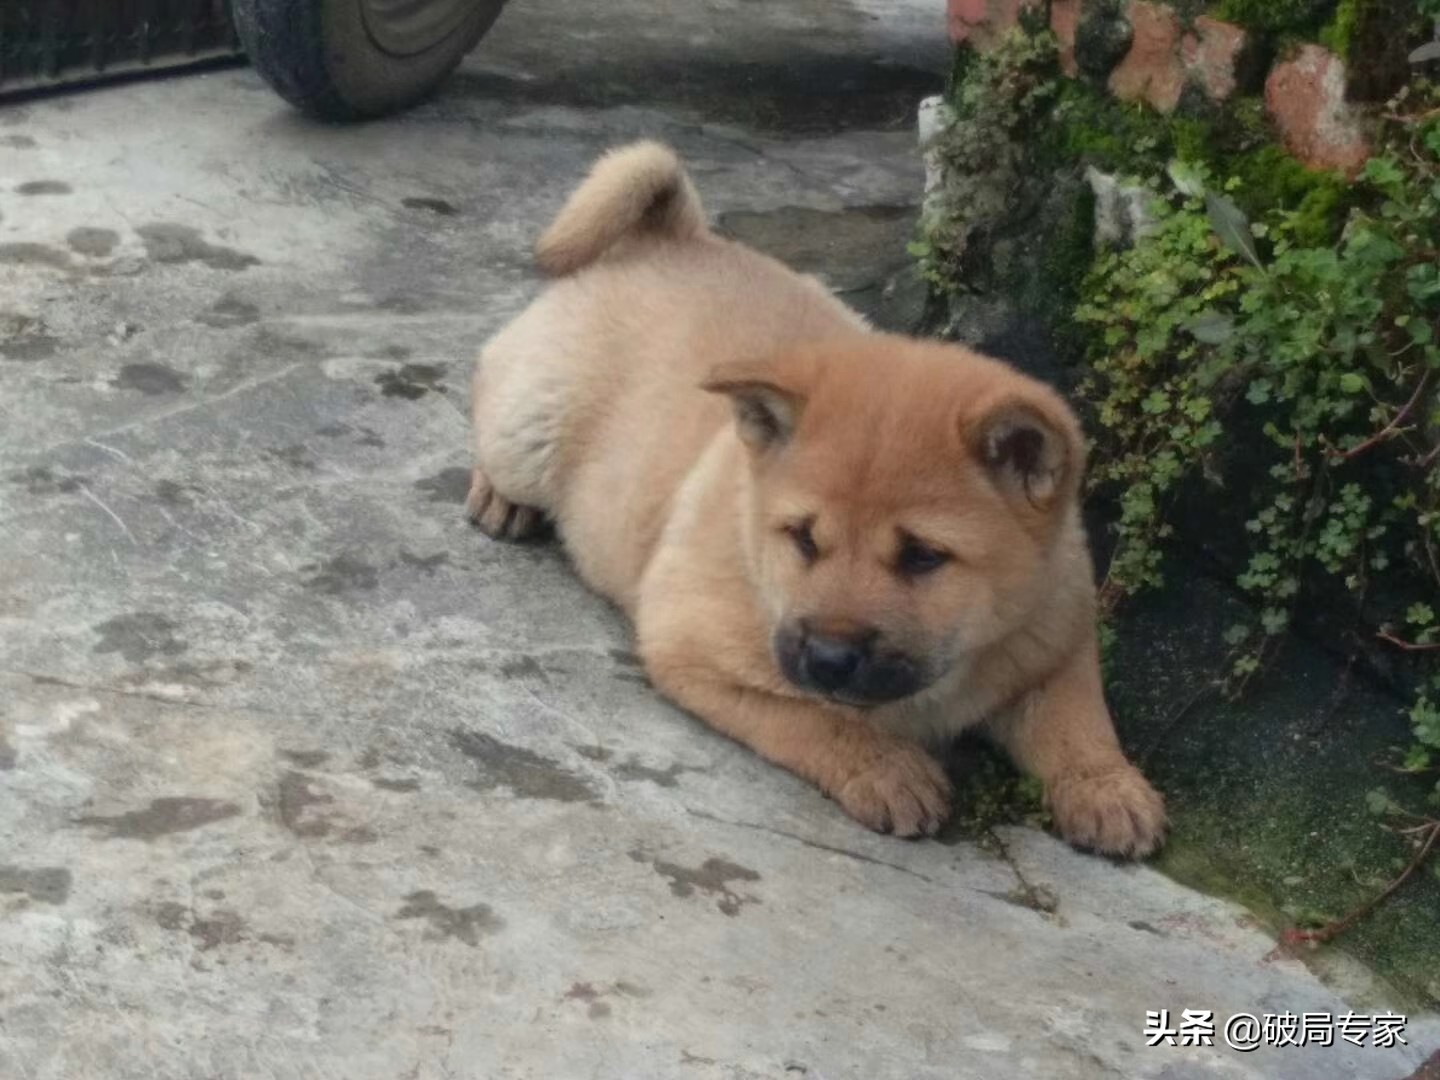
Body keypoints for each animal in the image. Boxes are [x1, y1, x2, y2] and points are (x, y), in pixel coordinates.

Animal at [466, 144, 1163, 858]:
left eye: (923, 556)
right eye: (803, 537)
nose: (830, 658)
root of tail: (674, 235)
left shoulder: (1054, 639)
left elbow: (1078, 719)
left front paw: (1108, 788)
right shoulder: (695, 649)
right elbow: (815, 719)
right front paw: (887, 769)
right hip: (527, 429)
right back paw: (501, 500)